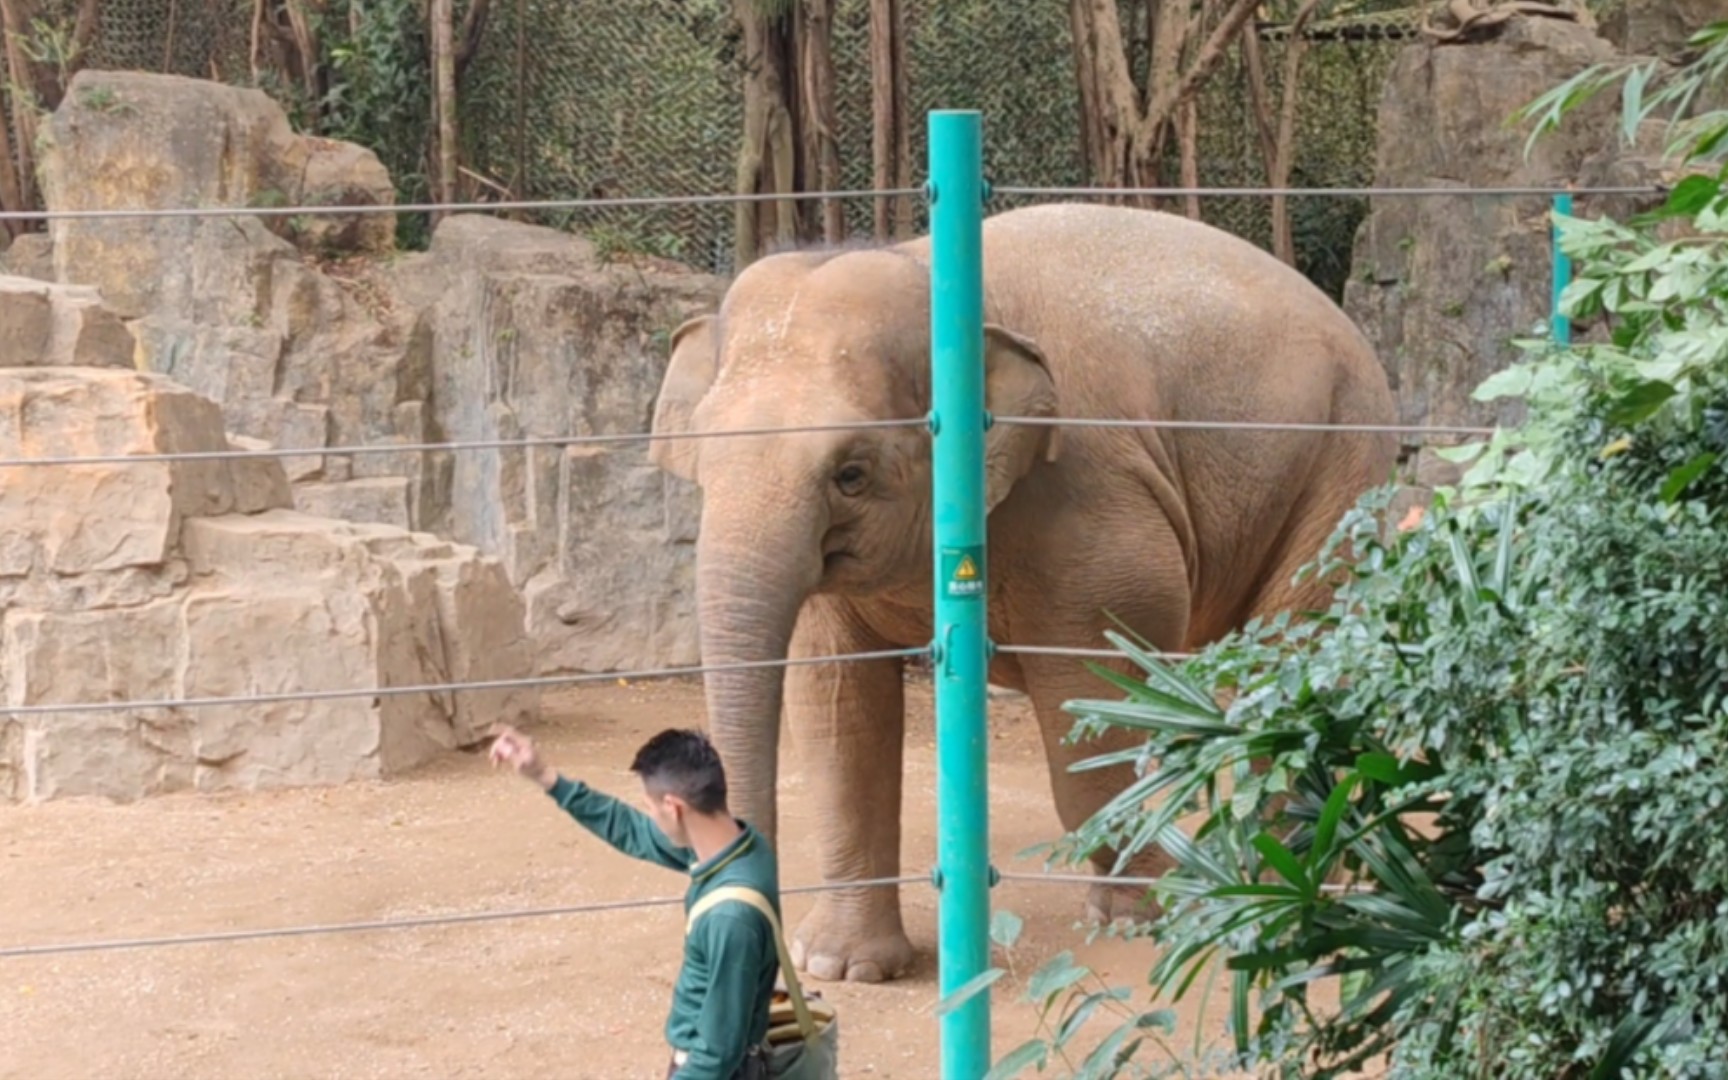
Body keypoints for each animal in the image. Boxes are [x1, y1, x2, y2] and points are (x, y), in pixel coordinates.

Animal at [649, 200, 1403, 988]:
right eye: (701, 460)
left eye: (851, 473)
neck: (928, 271)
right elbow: (836, 712)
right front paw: (845, 967)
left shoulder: (1089, 500)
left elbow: (1096, 691)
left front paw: (1138, 914)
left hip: (1342, 465)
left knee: (1292, 658)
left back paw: (1285, 880)